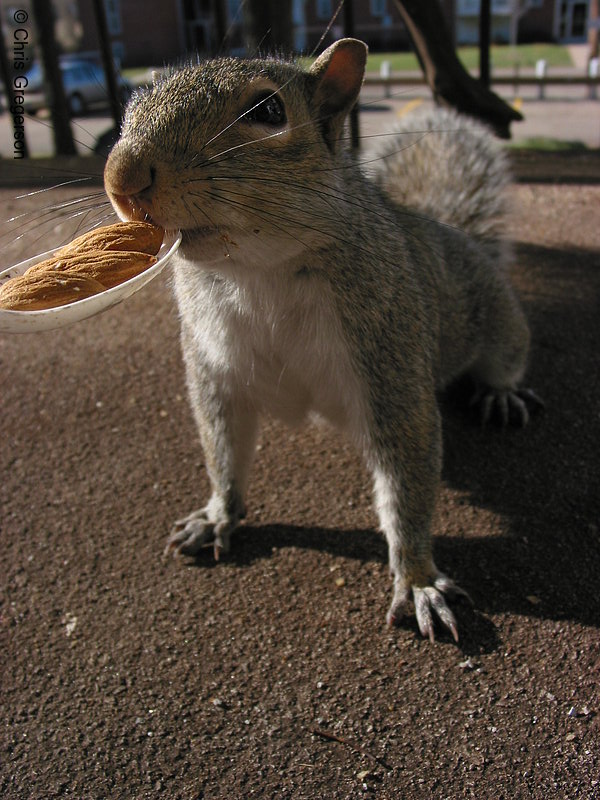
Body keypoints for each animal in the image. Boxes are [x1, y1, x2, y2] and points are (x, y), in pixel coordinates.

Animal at [104, 39, 544, 644]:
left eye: (267, 111)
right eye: (133, 99)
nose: (121, 175)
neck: (256, 272)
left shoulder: (391, 362)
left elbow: (407, 481)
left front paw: (418, 579)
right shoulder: (216, 370)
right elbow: (223, 449)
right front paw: (218, 515)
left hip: (497, 322)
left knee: (505, 357)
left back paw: (501, 394)